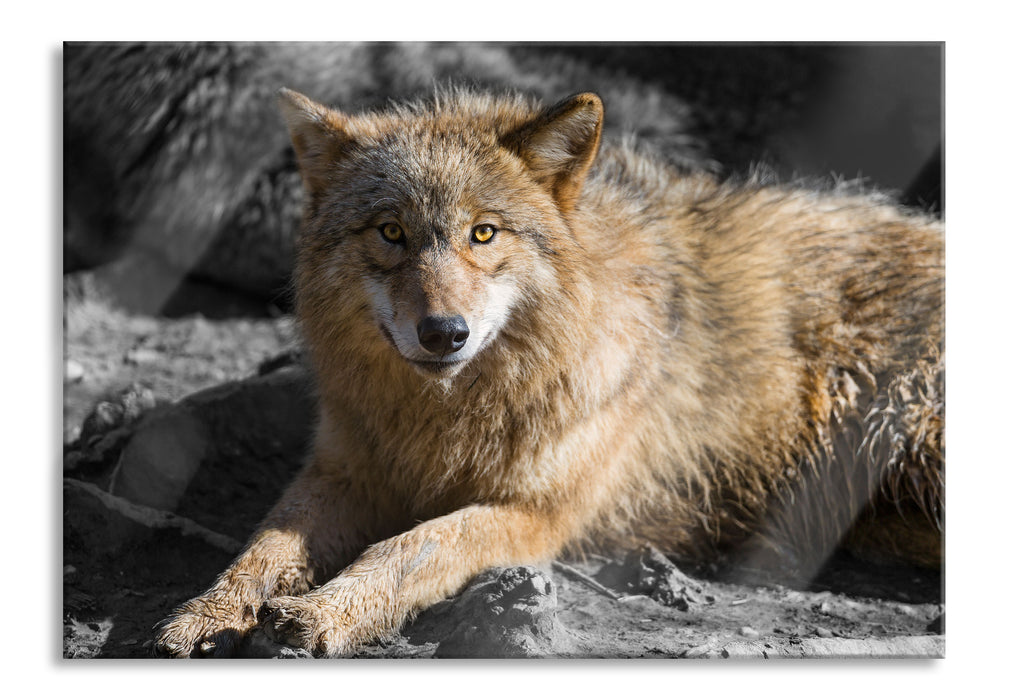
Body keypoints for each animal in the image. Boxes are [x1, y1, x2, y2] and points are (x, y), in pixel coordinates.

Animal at [154, 87, 944, 657]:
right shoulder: (345, 471)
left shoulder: (535, 513)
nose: (443, 333)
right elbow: (263, 545)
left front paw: (324, 612)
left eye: (483, 233)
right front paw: (208, 610)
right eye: (391, 232)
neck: (448, 415)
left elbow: (414, 546)